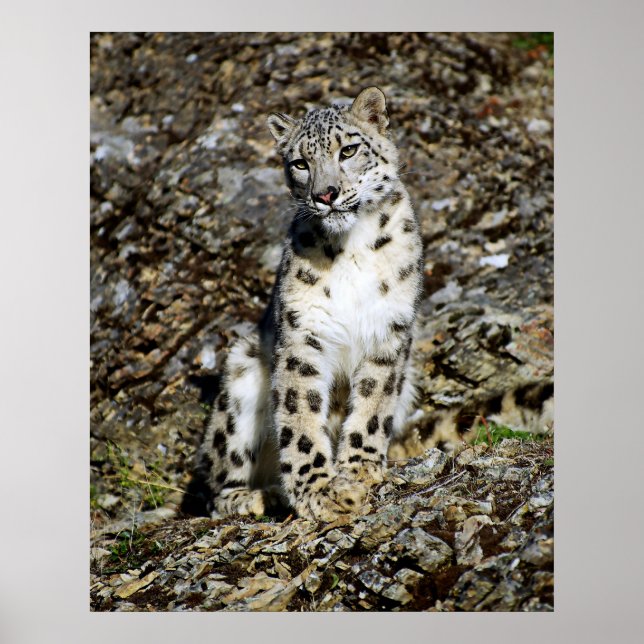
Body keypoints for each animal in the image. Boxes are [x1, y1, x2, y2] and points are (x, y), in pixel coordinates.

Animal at [195, 87, 424, 522]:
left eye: (349, 150)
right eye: (300, 163)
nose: (325, 195)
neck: (353, 247)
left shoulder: (388, 330)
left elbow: (373, 405)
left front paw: (359, 471)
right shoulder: (304, 333)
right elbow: (299, 414)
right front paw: (321, 491)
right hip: (241, 374)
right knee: (217, 487)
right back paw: (257, 496)